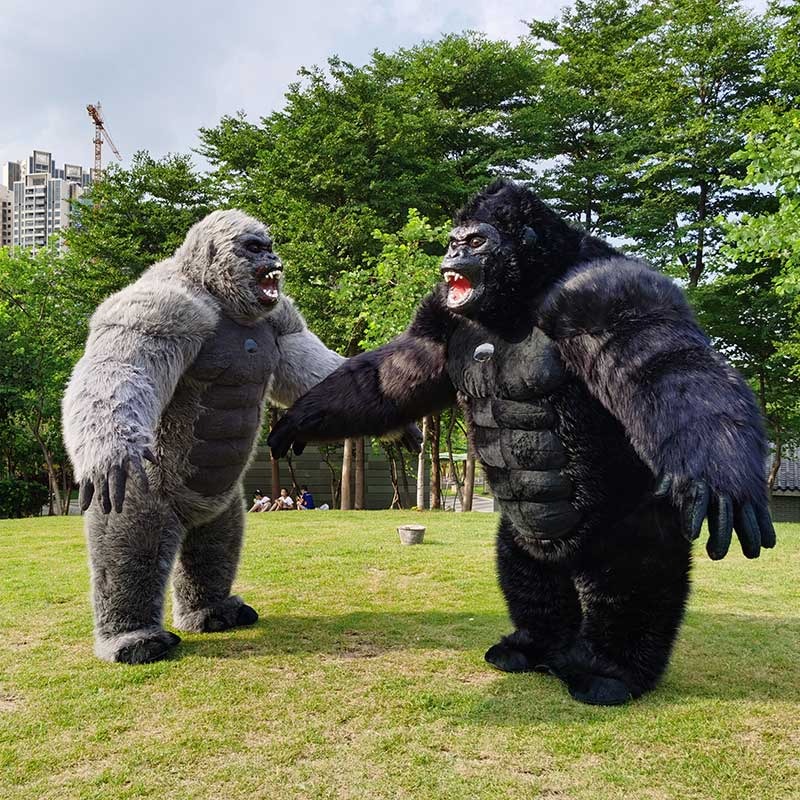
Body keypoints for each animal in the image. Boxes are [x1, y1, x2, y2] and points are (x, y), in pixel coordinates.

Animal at [63, 210, 418, 664]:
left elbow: (314, 370)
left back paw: (214, 610)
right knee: (131, 544)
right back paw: (133, 637)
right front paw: (112, 451)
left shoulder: (282, 319)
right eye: (253, 246)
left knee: (216, 544)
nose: (272, 259)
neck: (219, 297)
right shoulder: (163, 309)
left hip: (219, 504)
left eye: (268, 245)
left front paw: (396, 419)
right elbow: (124, 364)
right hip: (149, 490)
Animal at [268, 180, 775, 705]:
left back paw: (611, 672)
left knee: (632, 579)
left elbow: (670, 367)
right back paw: (533, 645)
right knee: (528, 570)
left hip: (627, 523)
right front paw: (301, 418)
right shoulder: (439, 314)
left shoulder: (606, 294)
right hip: (529, 538)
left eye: (476, 242)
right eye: (455, 241)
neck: (522, 294)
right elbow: (394, 374)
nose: (452, 256)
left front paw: (723, 475)